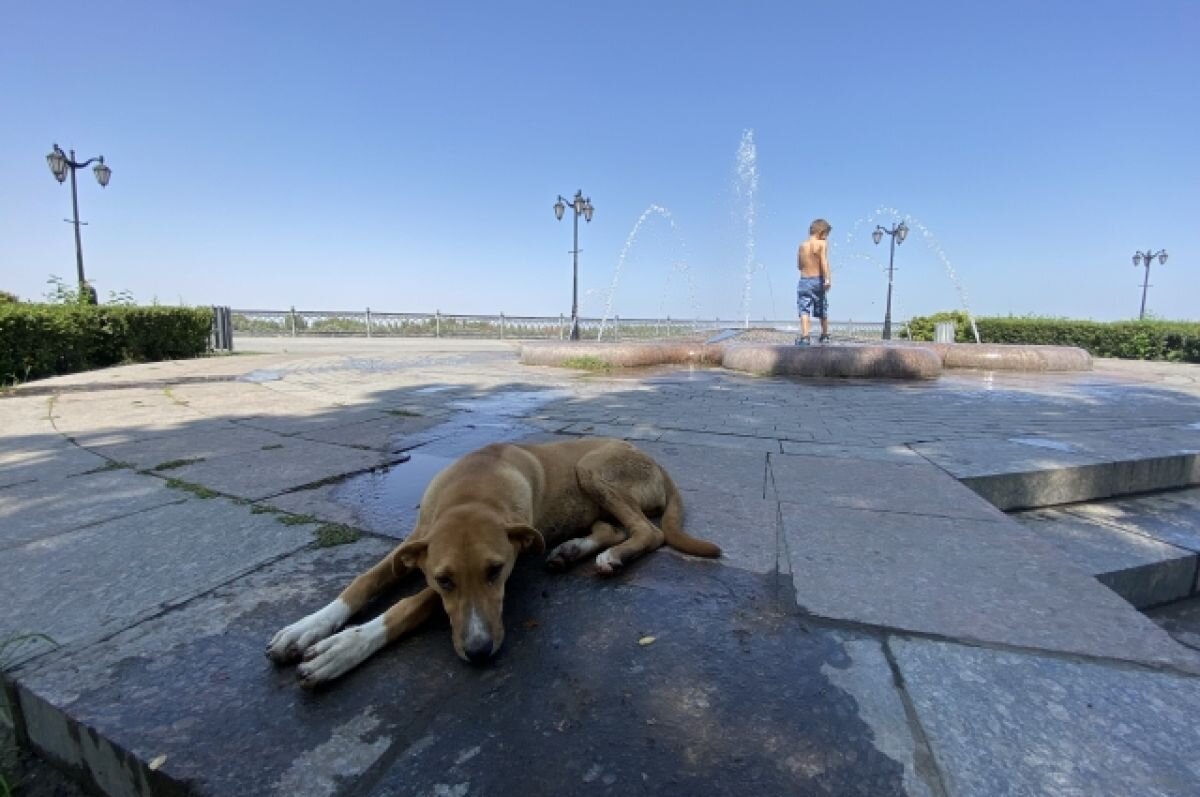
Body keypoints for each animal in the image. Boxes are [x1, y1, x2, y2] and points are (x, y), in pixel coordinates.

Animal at [267, 436, 720, 686]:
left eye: (496, 572)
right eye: (444, 580)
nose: (480, 651)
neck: (473, 491)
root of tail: (655, 461)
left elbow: (408, 605)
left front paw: (344, 648)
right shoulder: (415, 544)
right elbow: (364, 581)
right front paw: (308, 627)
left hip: (591, 468)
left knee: (649, 532)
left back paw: (610, 557)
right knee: (616, 528)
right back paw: (570, 551)